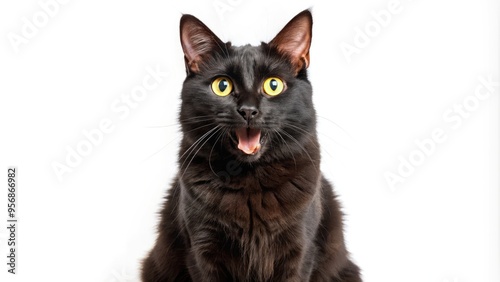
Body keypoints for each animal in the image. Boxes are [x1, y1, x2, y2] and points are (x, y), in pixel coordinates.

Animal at [141, 9, 360, 282]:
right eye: (222, 86)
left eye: (273, 85)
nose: (248, 110)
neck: (250, 182)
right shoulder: (202, 250)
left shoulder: (300, 250)